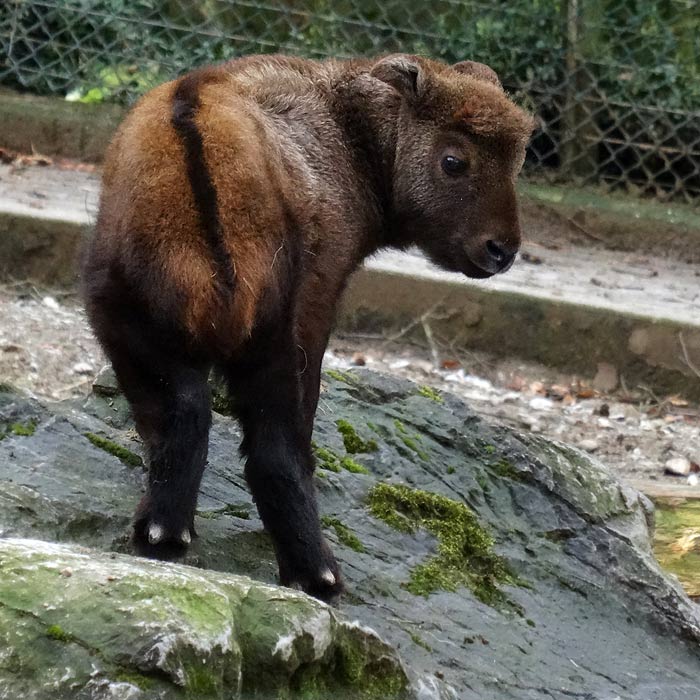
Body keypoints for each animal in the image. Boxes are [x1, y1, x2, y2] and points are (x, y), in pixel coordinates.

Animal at [82, 54, 532, 600]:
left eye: (518, 160)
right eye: (454, 160)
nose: (501, 250)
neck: (350, 134)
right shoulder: (320, 305)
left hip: (143, 327)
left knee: (187, 415)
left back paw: (167, 534)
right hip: (274, 339)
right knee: (273, 449)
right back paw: (316, 573)